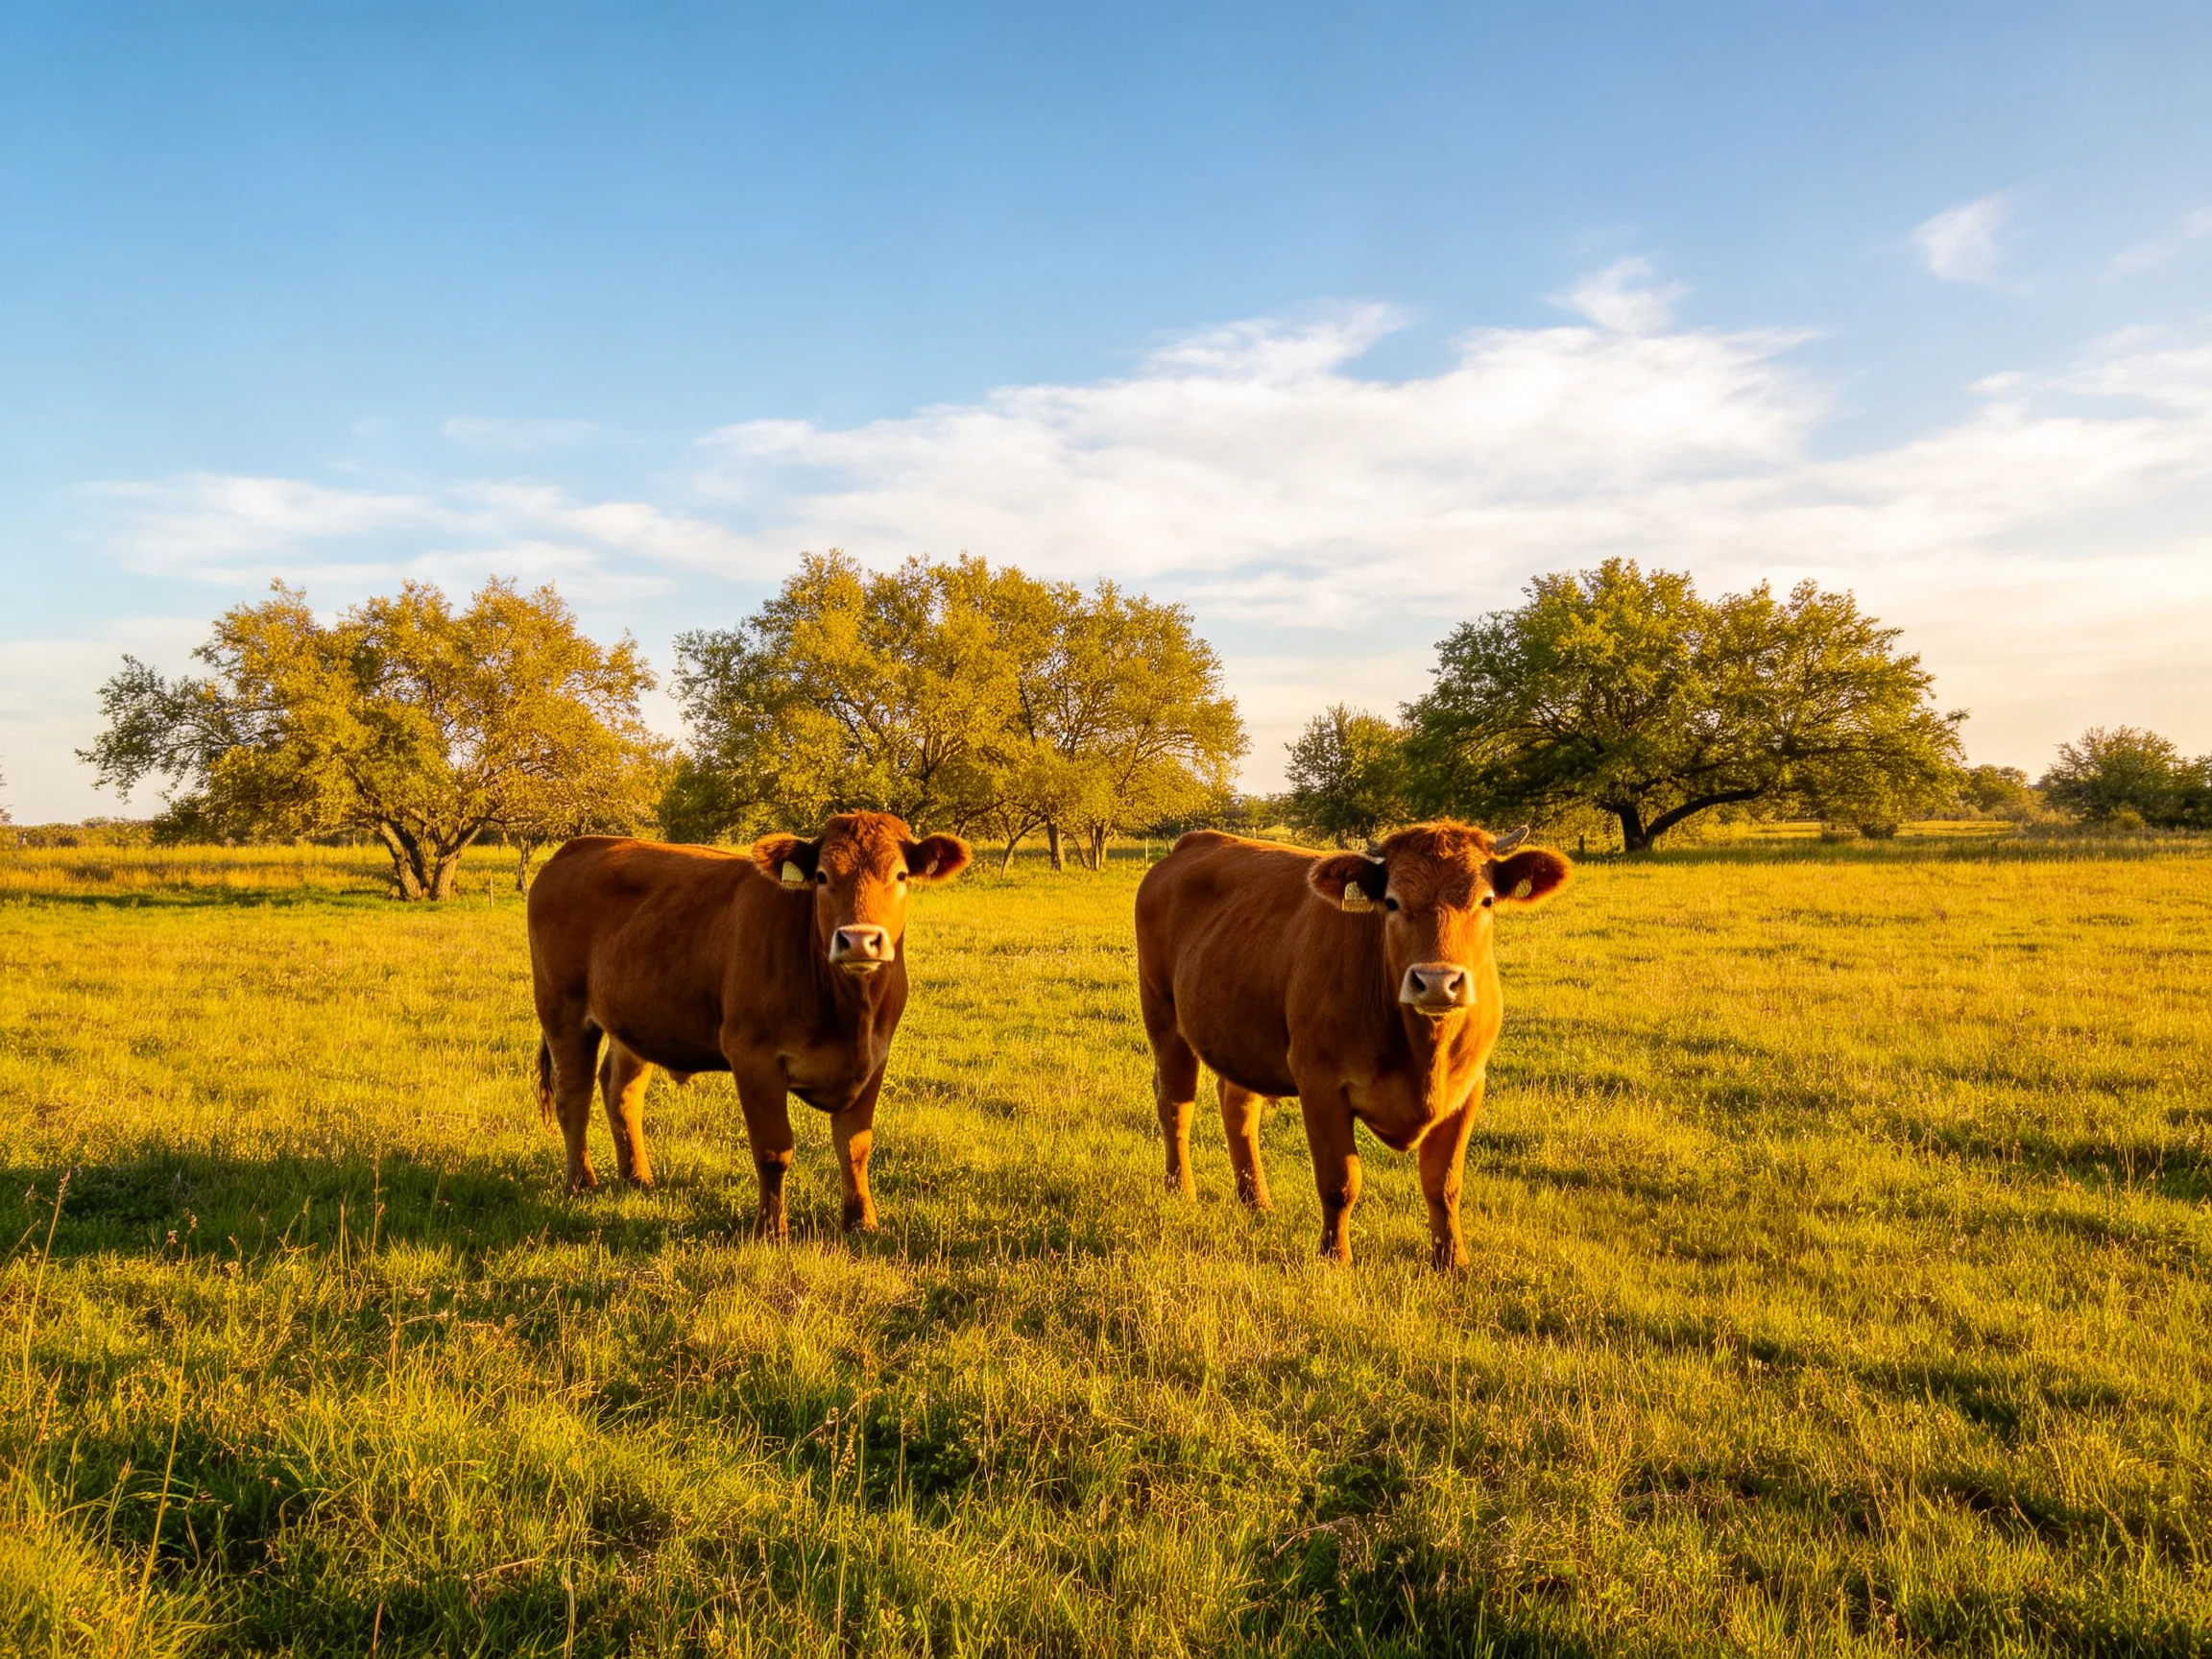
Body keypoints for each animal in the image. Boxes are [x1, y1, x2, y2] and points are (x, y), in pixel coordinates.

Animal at [526, 811, 970, 1237]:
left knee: (621, 1092)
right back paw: (582, 1183)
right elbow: (774, 1150)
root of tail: (578, 847)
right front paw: (771, 1229)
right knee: (573, 1095)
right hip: (562, 1010)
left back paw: (638, 1177)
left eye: (901, 875)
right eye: (822, 876)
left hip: (635, 1020)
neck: (850, 1013)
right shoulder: (754, 1057)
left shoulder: (874, 1058)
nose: (859, 940)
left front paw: (862, 1222)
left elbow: (855, 1146)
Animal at [1134, 821, 1570, 1269]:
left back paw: (1255, 1201)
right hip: (1162, 1015)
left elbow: (1443, 1184)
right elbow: (1340, 1181)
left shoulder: (1468, 1089)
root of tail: (1195, 840)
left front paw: (1452, 1262)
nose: (1436, 981)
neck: (1423, 1053)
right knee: (1176, 1105)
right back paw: (1181, 1190)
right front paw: (1335, 1257)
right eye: (1392, 902)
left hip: (1241, 1032)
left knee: (1238, 1107)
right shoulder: (1321, 1084)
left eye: (1486, 900)